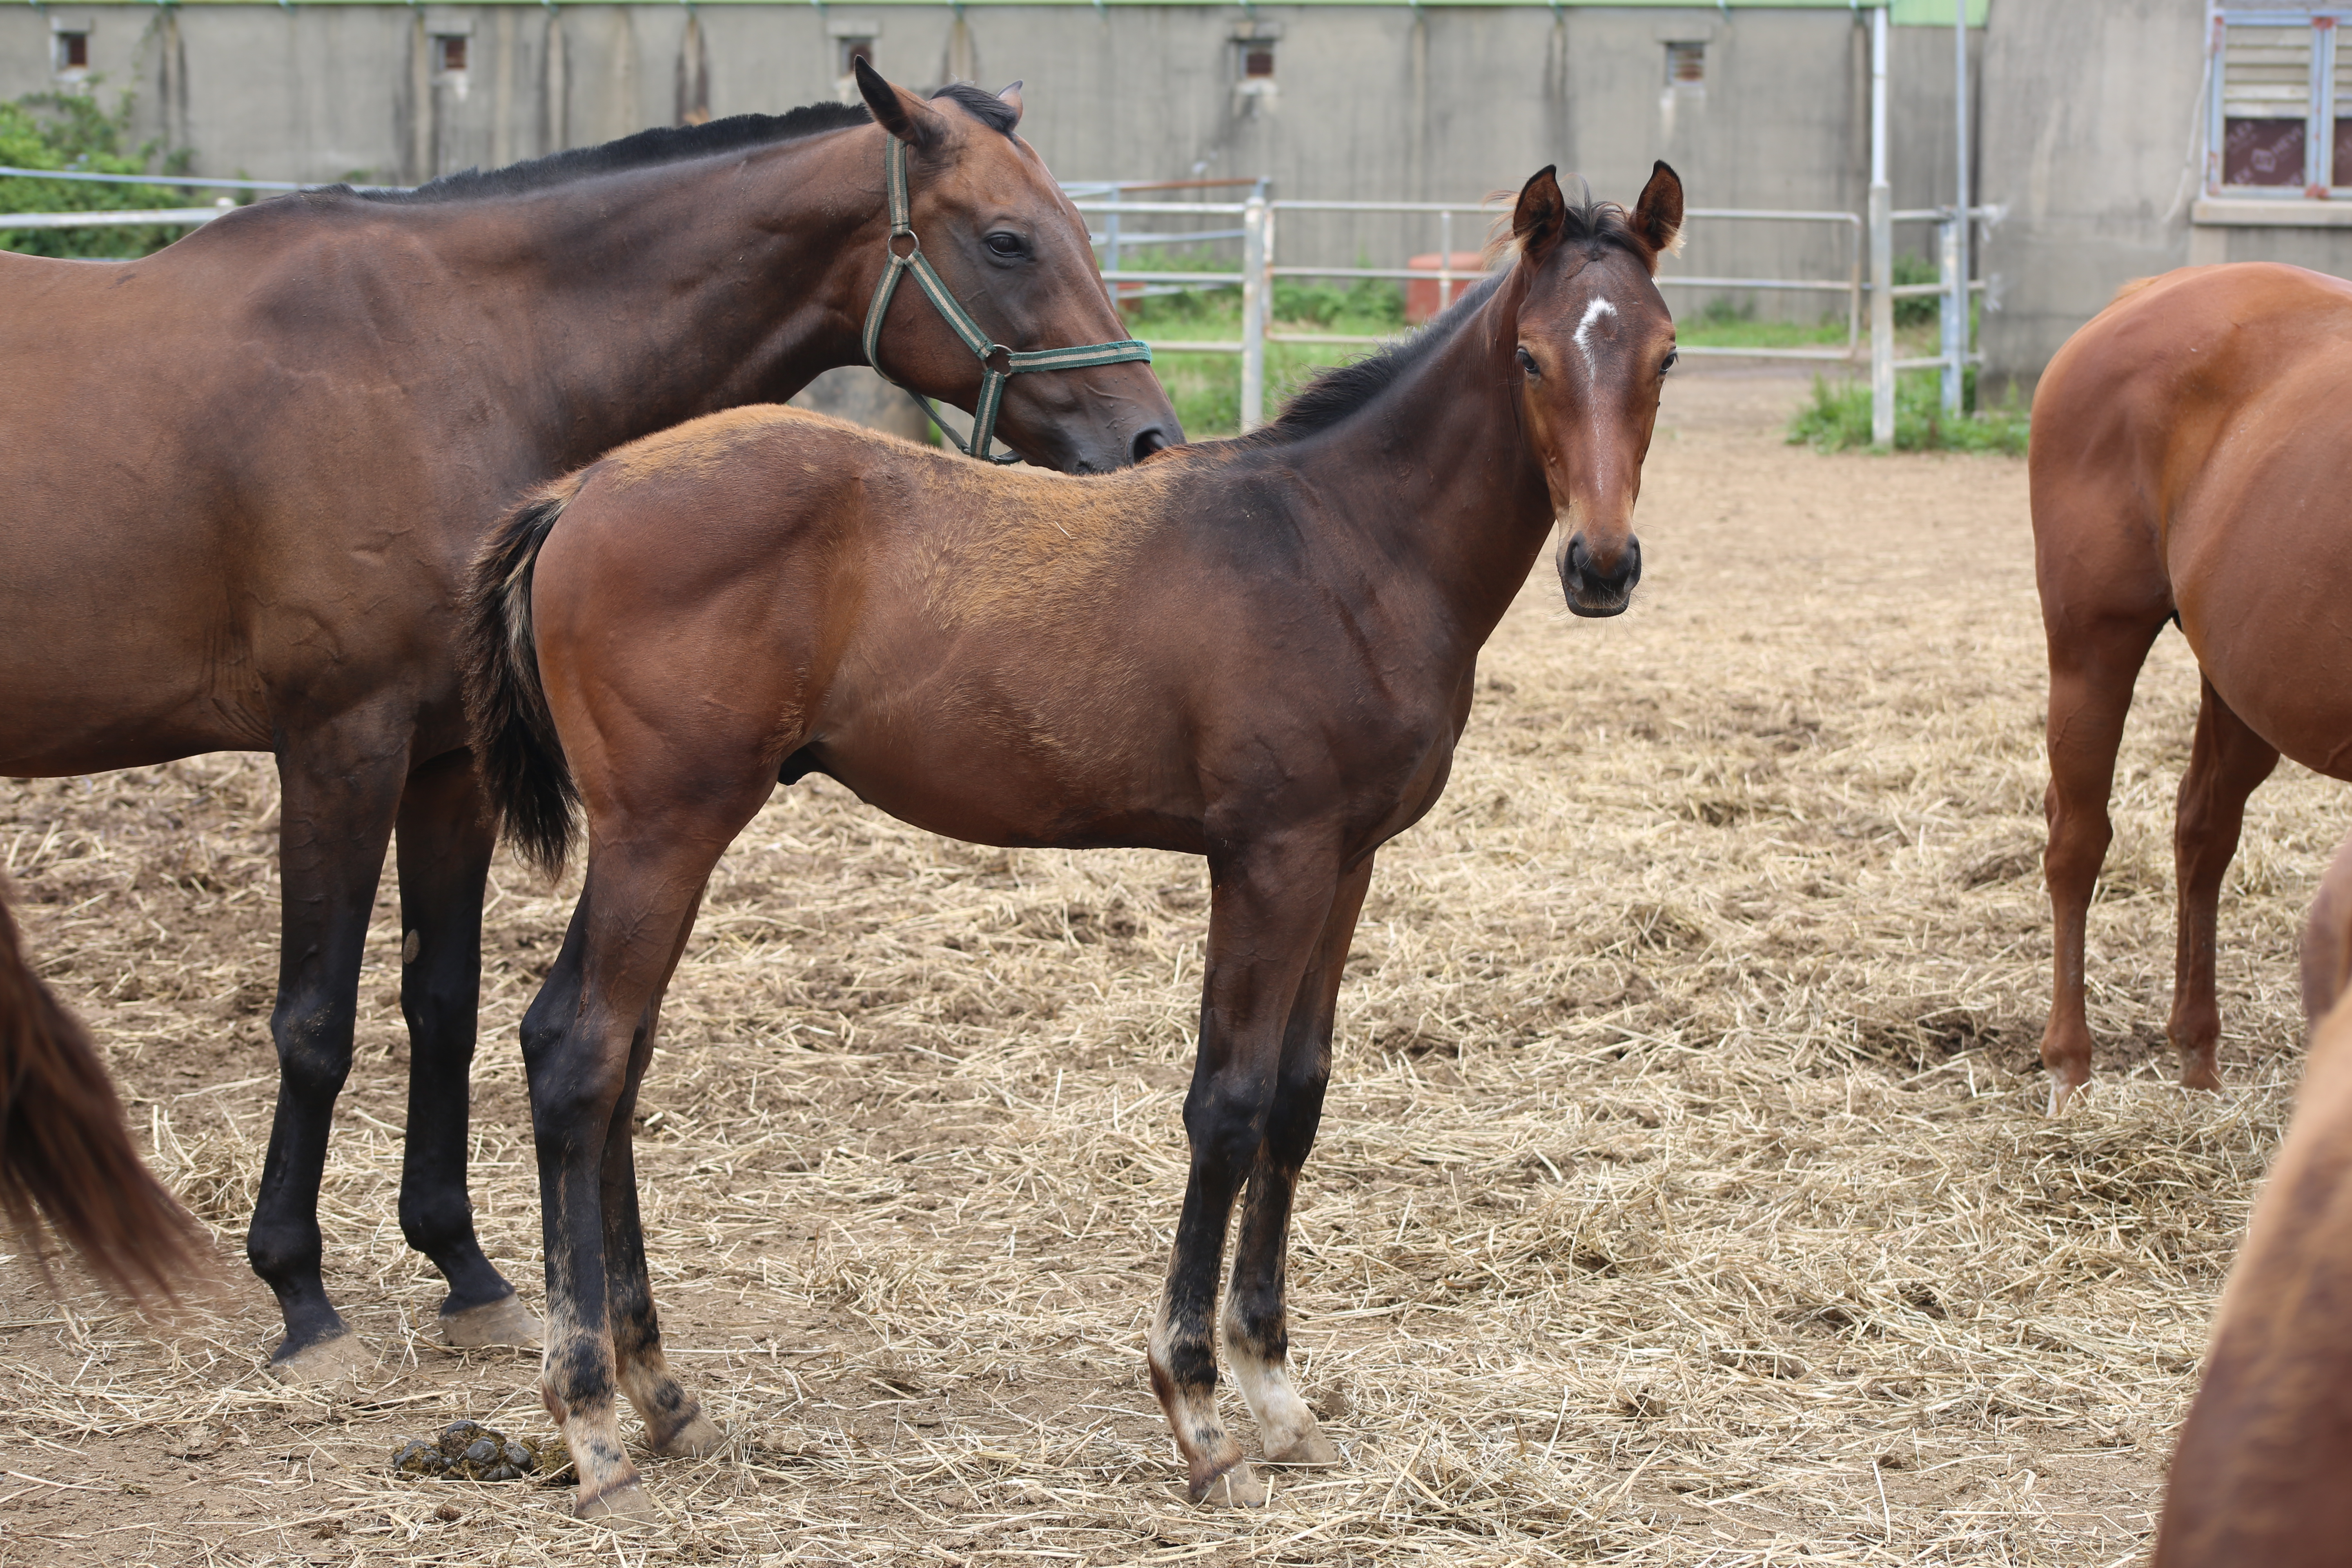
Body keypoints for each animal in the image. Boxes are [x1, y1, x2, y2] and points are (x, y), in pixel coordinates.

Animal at [0, 67, 1176, 1382]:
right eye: (1007, 239)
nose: (1147, 441)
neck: (448, 354)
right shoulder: (338, 745)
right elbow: (316, 1019)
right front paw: (299, 1290)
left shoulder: (445, 763)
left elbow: (442, 1004)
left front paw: (462, 1267)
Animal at [454, 162, 1675, 1523]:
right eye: (1529, 357)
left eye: (1665, 356)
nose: (1603, 565)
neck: (1342, 543)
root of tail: (581, 492)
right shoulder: (1270, 857)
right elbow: (1230, 1103)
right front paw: (1199, 1409)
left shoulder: (1349, 859)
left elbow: (1298, 1098)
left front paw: (1278, 1392)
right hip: (663, 830)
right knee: (577, 1053)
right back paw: (594, 1421)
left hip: (675, 839)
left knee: (621, 1063)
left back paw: (664, 1393)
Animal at [2022, 263, 2352, 1109]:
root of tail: (2147, 290)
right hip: (2092, 650)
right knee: (2077, 841)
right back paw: (2069, 1065)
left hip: (2241, 683)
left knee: (2203, 832)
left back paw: (2196, 1055)